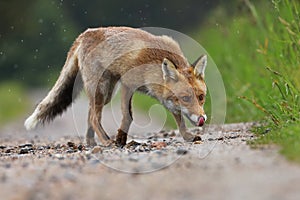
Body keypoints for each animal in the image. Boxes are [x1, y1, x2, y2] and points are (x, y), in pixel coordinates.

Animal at [24, 26, 206, 147]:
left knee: (91, 115)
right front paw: (120, 139)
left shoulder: (166, 99)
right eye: (185, 98)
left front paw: (187, 136)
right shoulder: (128, 84)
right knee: (93, 117)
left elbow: (180, 119)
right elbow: (128, 116)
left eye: (201, 97)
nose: (202, 119)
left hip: (106, 94)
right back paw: (105, 141)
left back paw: (91, 142)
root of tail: (85, 33)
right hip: (101, 90)